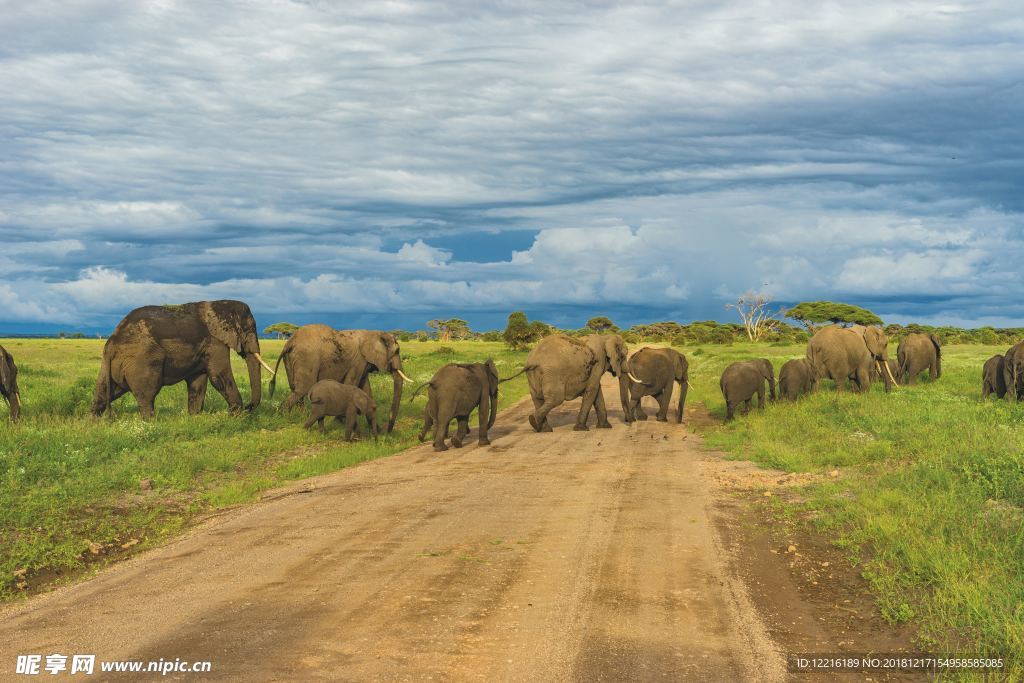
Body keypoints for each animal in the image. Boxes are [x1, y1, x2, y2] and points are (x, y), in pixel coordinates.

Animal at [91, 301, 274, 419]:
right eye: (248, 328)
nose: (249, 408)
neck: (220, 304)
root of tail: (111, 343)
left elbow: (198, 381)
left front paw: (194, 418)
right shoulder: (214, 342)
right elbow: (219, 376)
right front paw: (237, 417)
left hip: (113, 365)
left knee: (105, 391)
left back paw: (93, 423)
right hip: (142, 361)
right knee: (147, 394)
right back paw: (151, 423)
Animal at [268, 325, 411, 432]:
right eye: (397, 351)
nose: (387, 430)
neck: (374, 333)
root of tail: (289, 342)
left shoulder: (363, 362)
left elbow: (366, 389)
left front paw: (376, 428)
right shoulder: (358, 361)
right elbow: (352, 384)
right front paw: (342, 420)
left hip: (291, 359)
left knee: (295, 389)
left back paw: (299, 416)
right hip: (306, 357)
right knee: (302, 389)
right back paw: (283, 418)